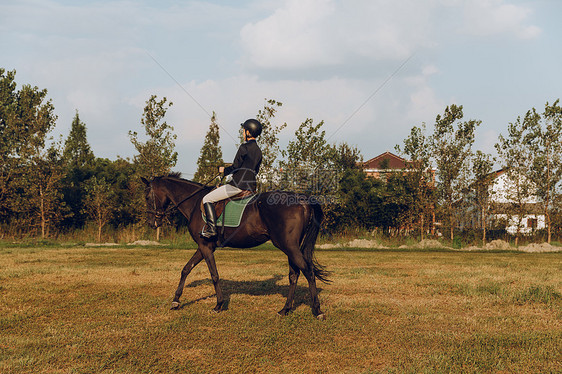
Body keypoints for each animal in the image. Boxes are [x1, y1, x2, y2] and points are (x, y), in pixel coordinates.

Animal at [141, 175, 328, 318]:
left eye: (147, 198)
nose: (151, 223)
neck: (194, 203)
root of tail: (301, 199)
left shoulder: (206, 247)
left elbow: (214, 275)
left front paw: (218, 305)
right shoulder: (203, 247)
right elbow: (186, 269)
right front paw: (176, 301)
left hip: (288, 246)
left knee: (308, 271)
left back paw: (317, 310)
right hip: (290, 247)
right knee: (294, 274)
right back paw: (285, 309)